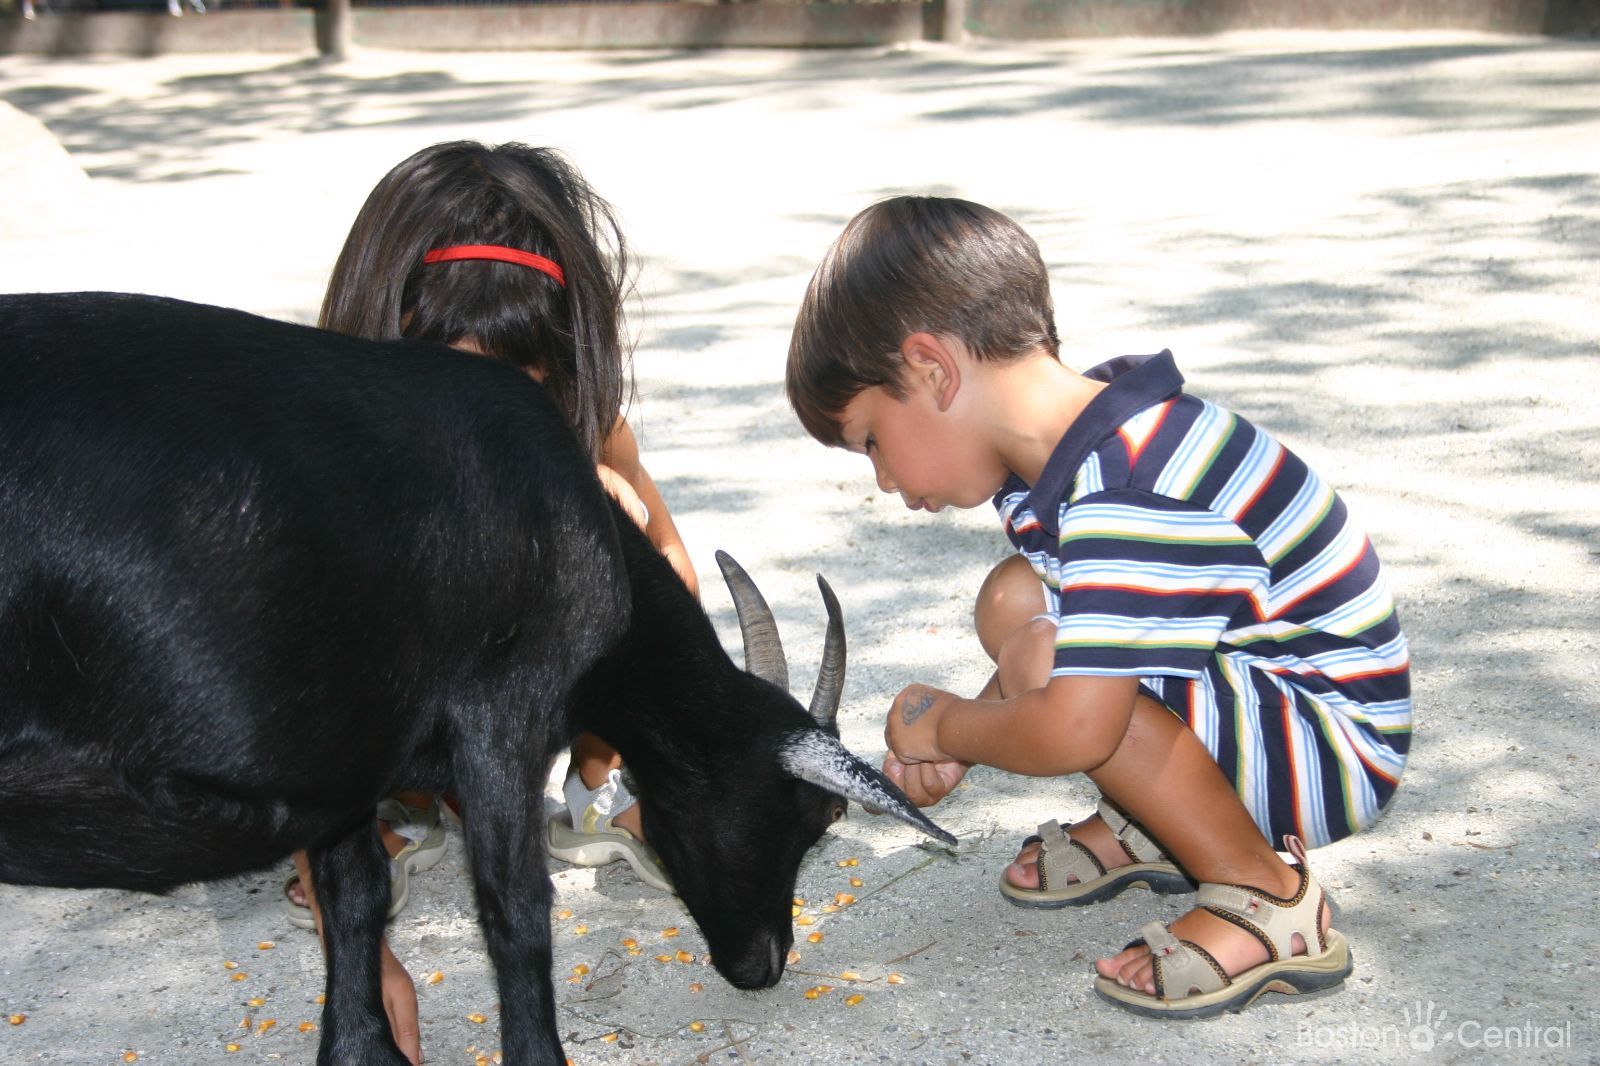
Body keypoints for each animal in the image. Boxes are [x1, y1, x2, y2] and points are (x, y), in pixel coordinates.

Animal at [0, 291, 954, 1065]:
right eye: (812, 817)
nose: (764, 964)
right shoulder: (502, 718)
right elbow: (516, 911)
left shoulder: (348, 764)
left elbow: (356, 899)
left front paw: (364, 1049)